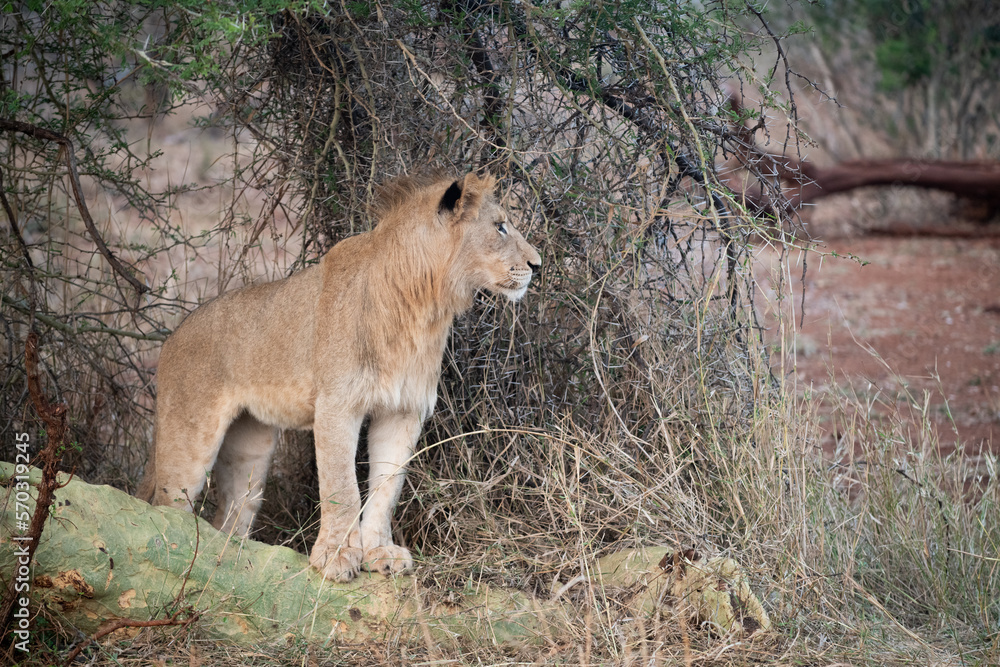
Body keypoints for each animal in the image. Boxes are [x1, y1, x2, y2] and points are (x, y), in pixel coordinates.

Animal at [138, 171, 541, 582]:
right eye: (500, 226)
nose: (537, 264)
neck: (424, 303)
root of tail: (171, 338)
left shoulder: (402, 412)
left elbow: (386, 490)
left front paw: (380, 552)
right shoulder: (337, 405)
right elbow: (342, 488)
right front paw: (336, 556)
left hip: (250, 450)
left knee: (231, 517)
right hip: (188, 445)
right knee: (167, 506)